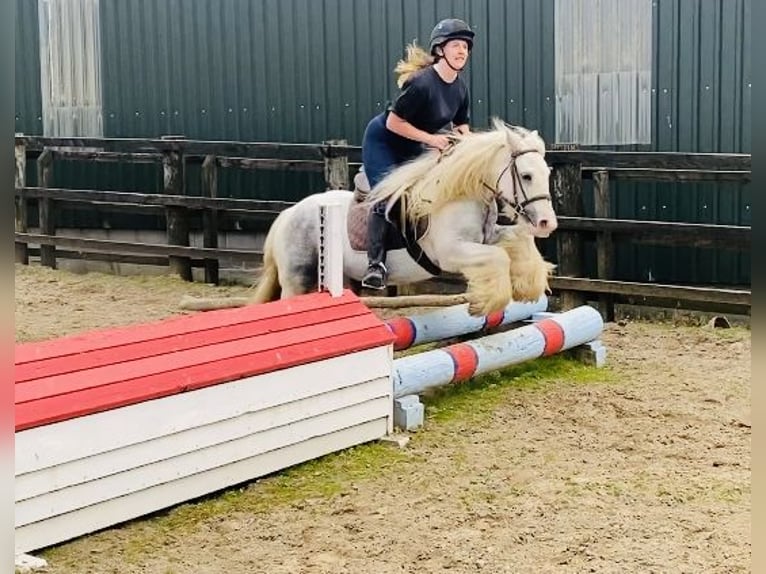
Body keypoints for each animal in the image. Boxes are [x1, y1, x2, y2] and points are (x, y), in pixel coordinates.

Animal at [252, 116, 560, 316]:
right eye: (526, 176)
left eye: (546, 174)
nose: (547, 223)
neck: (460, 193)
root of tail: (288, 214)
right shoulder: (450, 252)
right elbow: (499, 257)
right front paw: (483, 304)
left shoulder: (488, 236)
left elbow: (518, 241)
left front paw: (527, 287)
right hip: (298, 278)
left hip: (344, 277)